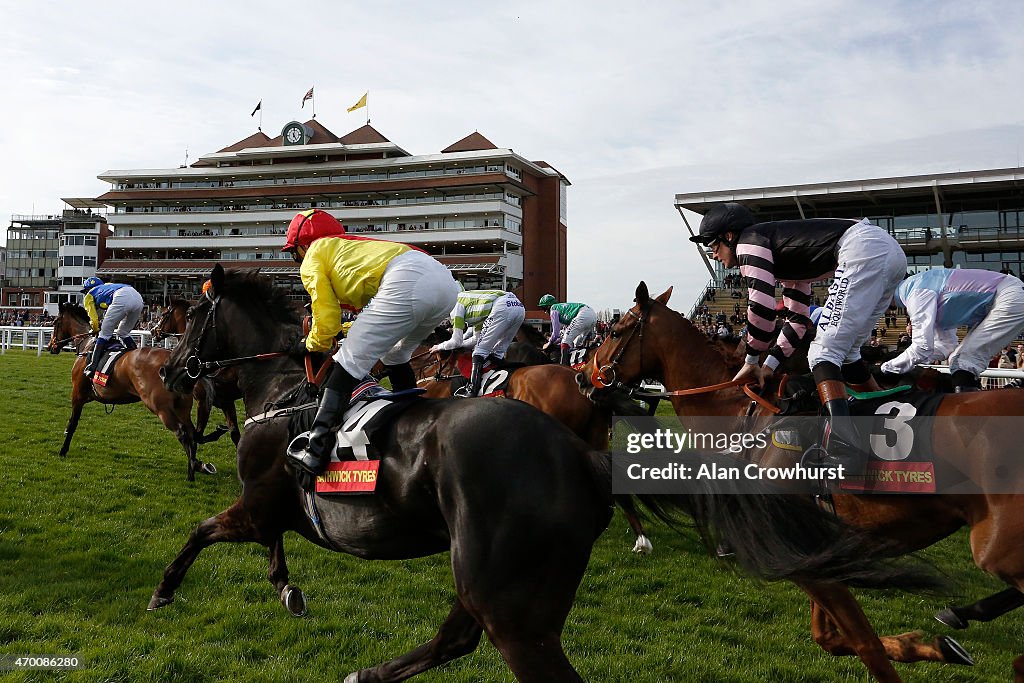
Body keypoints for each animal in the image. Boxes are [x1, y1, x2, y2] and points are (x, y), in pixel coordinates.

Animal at [47, 301, 221, 483]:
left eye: (55, 322)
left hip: (160, 407)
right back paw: (197, 462)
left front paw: (63, 450)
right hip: (182, 407)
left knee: (183, 433)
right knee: (192, 434)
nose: (51, 345)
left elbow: (72, 424)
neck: (87, 345)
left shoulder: (77, 395)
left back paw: (191, 473)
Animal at [151, 296, 241, 446]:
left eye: (163, 314)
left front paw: (219, 430)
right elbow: (235, 434)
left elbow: (198, 436)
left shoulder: (203, 401)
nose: (153, 330)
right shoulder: (226, 401)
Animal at [589, 280, 1024, 679]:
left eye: (614, 331)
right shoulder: (818, 552)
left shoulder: (805, 554)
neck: (746, 416)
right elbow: (831, 638)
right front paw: (923, 646)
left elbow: (865, 645)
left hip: (999, 549)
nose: (585, 376)